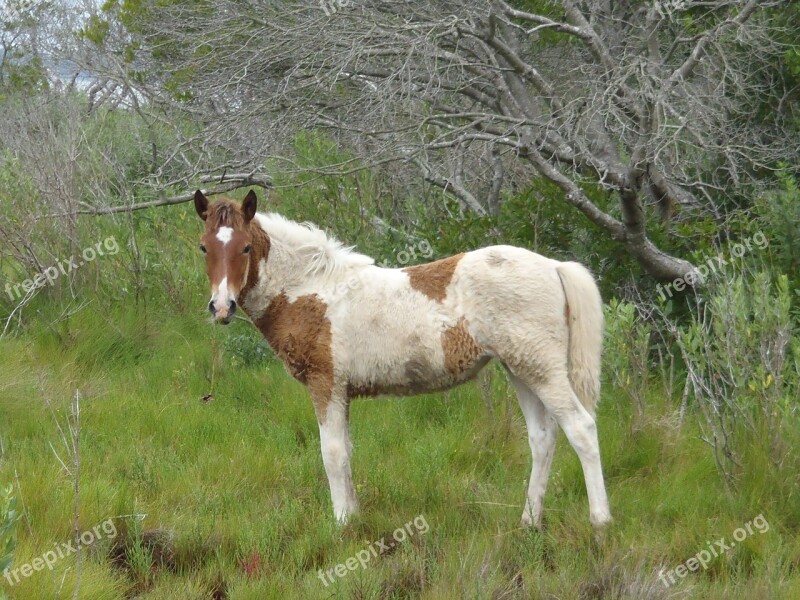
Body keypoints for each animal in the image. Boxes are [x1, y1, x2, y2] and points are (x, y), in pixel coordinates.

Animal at [195, 190, 612, 528]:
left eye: (245, 247)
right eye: (204, 247)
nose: (221, 307)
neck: (310, 290)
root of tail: (554, 266)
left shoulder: (326, 384)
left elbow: (332, 453)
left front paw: (342, 524)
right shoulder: (342, 392)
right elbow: (346, 452)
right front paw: (353, 517)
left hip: (542, 370)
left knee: (581, 428)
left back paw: (600, 522)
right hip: (520, 370)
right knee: (542, 438)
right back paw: (529, 522)